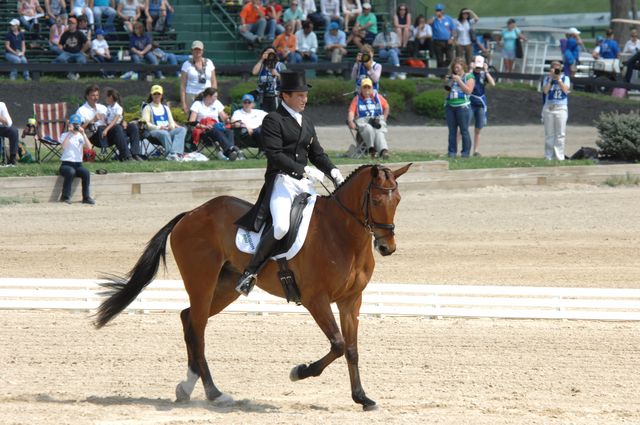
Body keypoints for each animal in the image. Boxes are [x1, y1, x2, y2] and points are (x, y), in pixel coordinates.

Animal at [95, 163, 416, 410]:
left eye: (398, 200)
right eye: (376, 202)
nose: (387, 248)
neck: (342, 235)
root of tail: (191, 213)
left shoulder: (351, 300)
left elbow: (351, 349)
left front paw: (362, 398)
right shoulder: (316, 299)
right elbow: (337, 344)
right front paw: (299, 371)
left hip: (226, 287)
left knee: (188, 319)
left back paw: (187, 388)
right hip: (202, 282)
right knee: (197, 328)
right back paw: (214, 393)